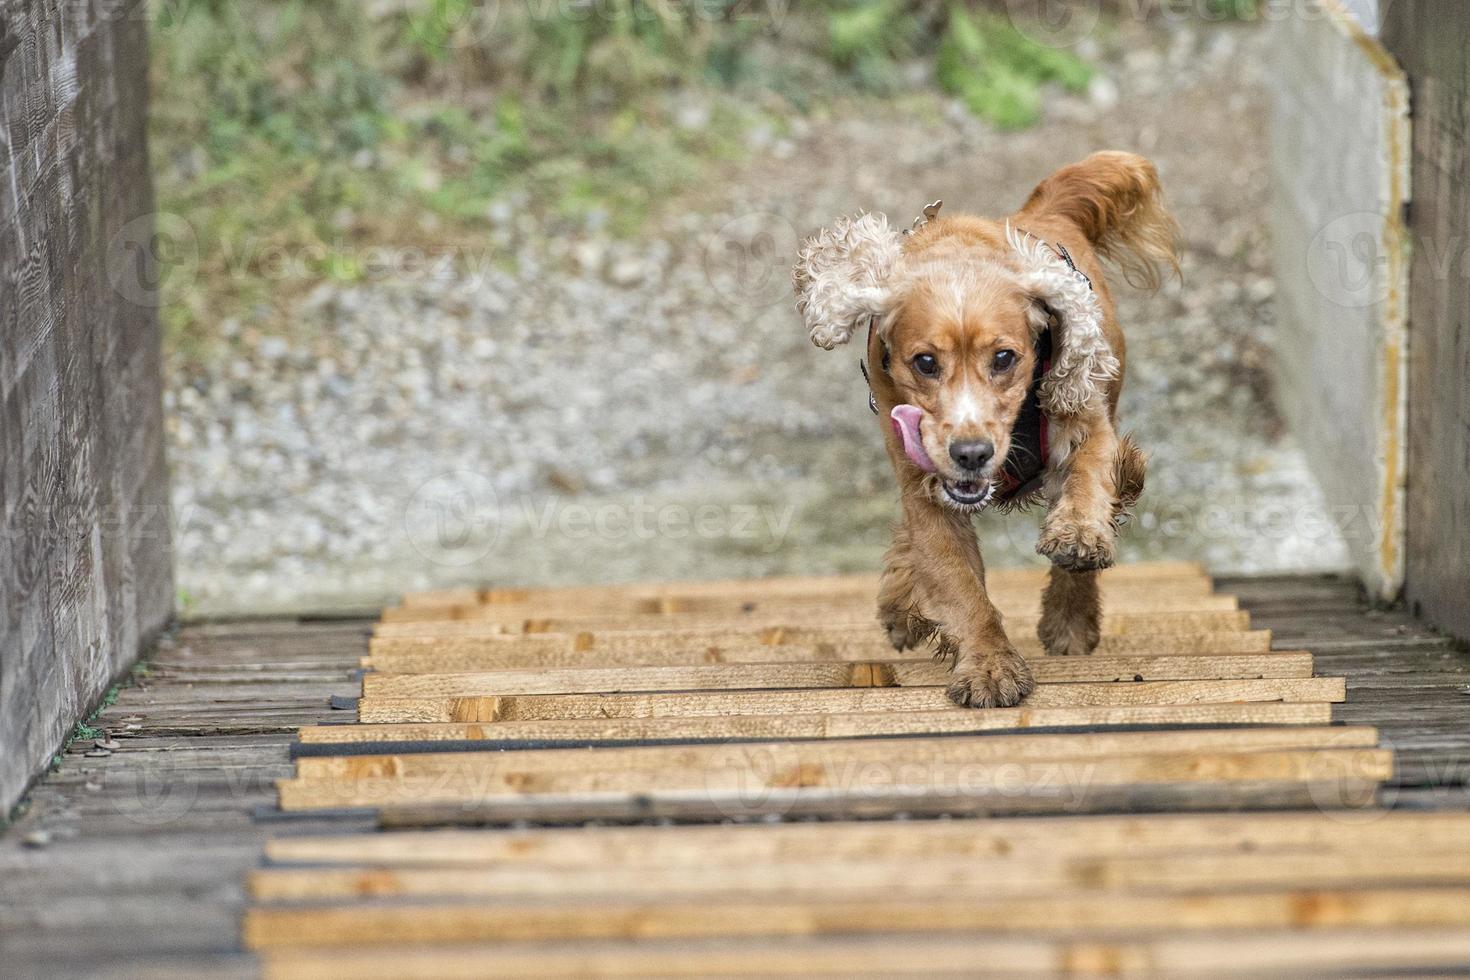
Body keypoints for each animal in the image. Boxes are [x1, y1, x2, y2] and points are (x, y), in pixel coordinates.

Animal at [787, 149, 1176, 705]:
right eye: (925, 362)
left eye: (1005, 357)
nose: (971, 453)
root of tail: (1045, 209)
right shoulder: (925, 487)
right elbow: (957, 582)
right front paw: (989, 666)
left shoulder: (1086, 417)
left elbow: (1090, 477)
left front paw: (1078, 535)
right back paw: (902, 605)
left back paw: (1070, 619)